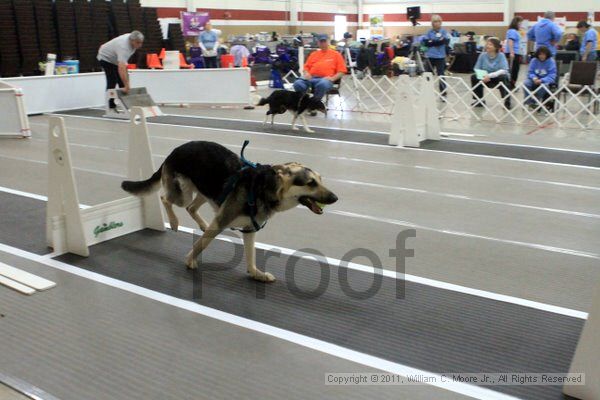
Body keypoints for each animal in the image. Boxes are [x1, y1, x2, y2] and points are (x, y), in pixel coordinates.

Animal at [122, 141, 338, 282]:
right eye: (310, 183)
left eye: (321, 180)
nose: (335, 198)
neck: (264, 188)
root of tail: (175, 151)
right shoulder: (222, 221)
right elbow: (201, 245)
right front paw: (190, 260)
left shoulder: (249, 229)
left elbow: (250, 256)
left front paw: (256, 274)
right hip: (183, 195)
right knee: (165, 199)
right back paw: (174, 221)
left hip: (204, 191)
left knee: (192, 209)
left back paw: (202, 224)